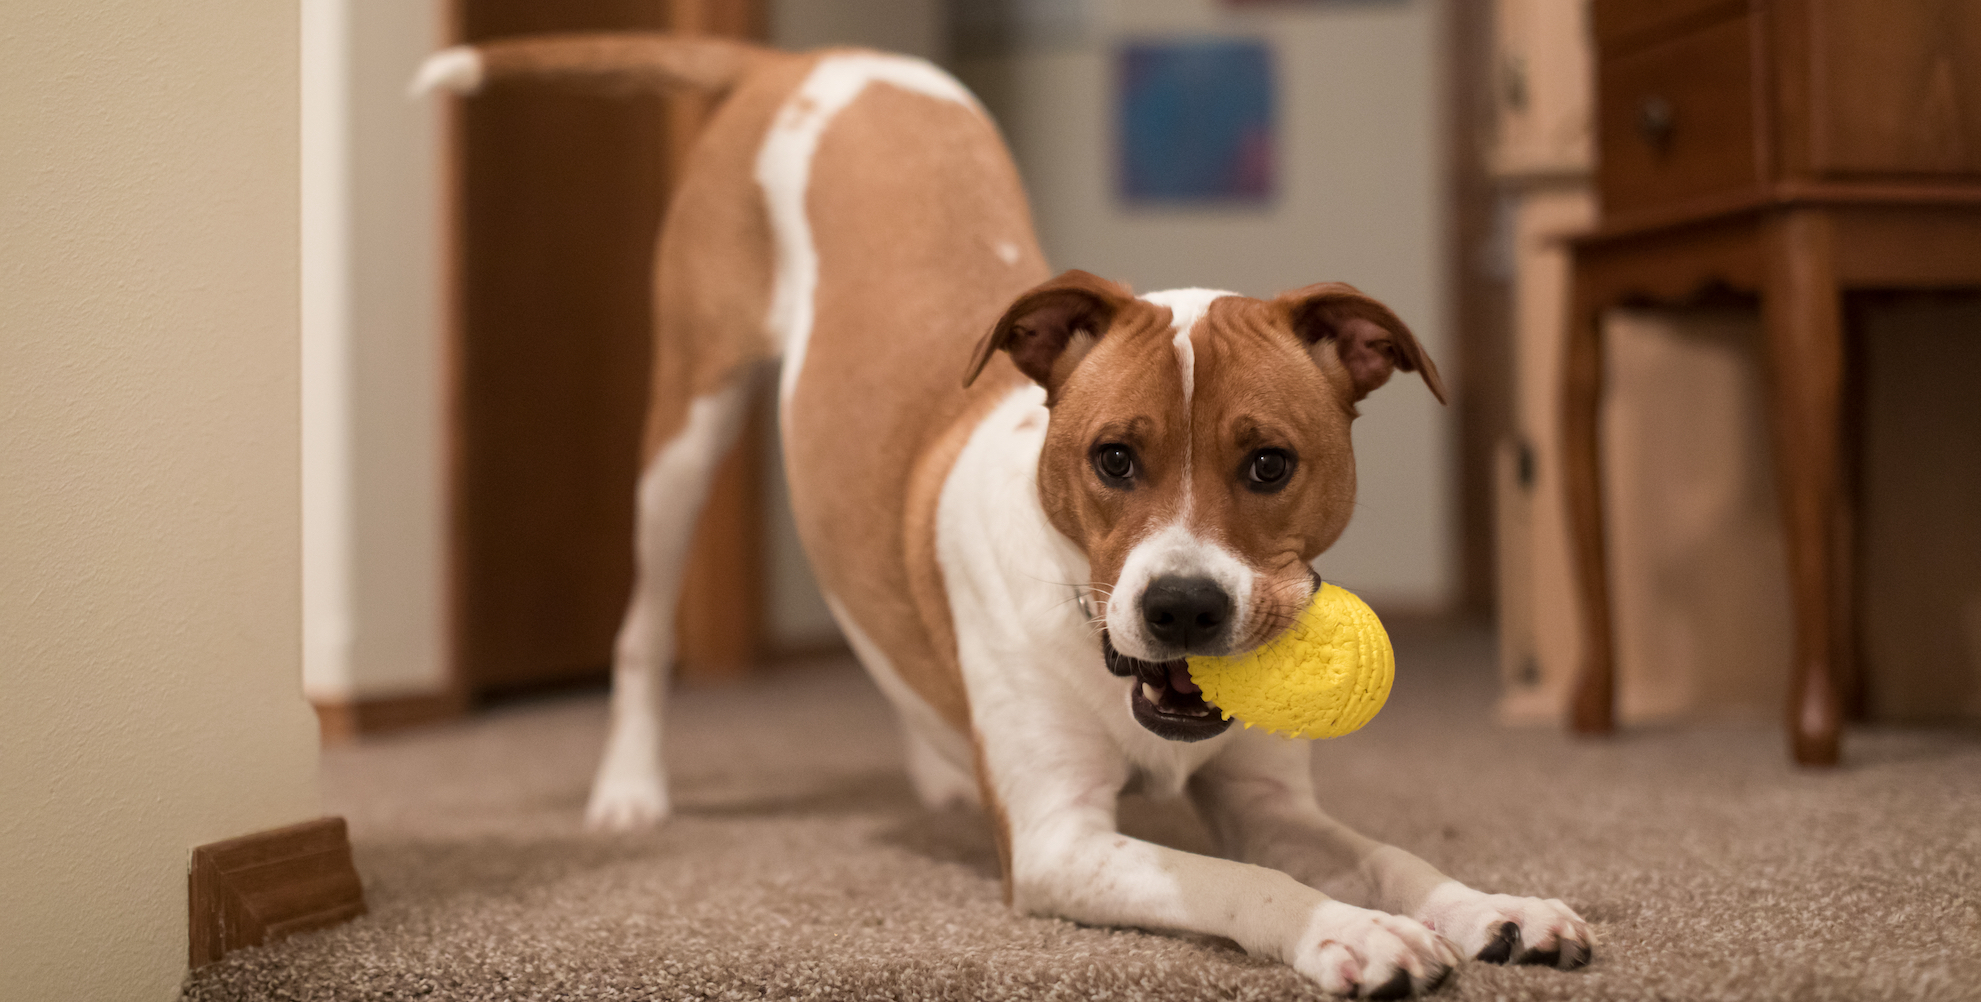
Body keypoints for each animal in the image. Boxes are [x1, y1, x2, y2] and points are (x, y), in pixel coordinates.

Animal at [417, 35, 1592, 998]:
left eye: (1269, 464)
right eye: (1113, 458)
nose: (1181, 608)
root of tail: (800, 58)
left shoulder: (1269, 800)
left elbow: (1384, 854)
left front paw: (1489, 907)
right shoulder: (1059, 843)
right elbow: (1235, 881)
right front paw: (1348, 931)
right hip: (684, 429)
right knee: (643, 627)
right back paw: (629, 790)